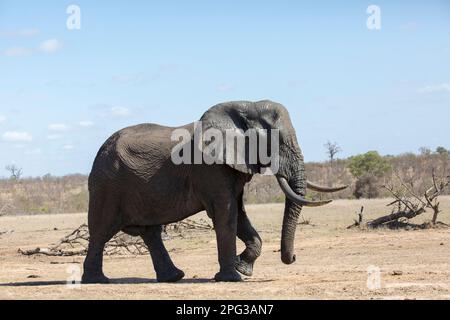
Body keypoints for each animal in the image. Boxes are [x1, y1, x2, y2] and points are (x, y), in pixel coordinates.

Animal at [82, 100, 346, 282]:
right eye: (277, 143)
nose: (293, 258)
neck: (247, 106)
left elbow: (239, 214)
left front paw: (242, 268)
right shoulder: (209, 168)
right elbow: (226, 214)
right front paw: (232, 278)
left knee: (151, 232)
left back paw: (174, 277)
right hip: (107, 184)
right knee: (101, 231)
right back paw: (98, 281)